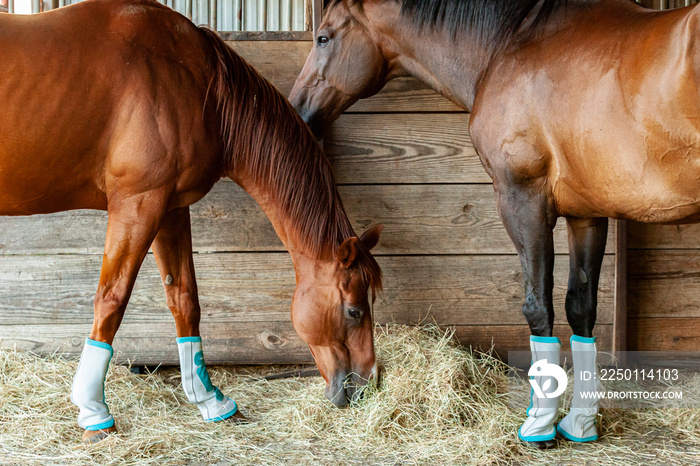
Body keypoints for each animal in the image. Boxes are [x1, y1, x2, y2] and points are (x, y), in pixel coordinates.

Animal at [0, 0, 382, 442]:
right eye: (354, 311)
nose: (366, 385)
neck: (198, 85)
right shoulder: (138, 203)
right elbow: (111, 300)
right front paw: (93, 410)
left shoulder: (169, 207)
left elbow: (184, 298)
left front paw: (210, 400)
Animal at [288, 0, 700, 450]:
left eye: (323, 37)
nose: (297, 109)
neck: (513, 42)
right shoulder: (586, 214)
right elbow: (581, 308)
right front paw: (580, 425)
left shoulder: (522, 200)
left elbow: (538, 307)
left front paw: (540, 426)